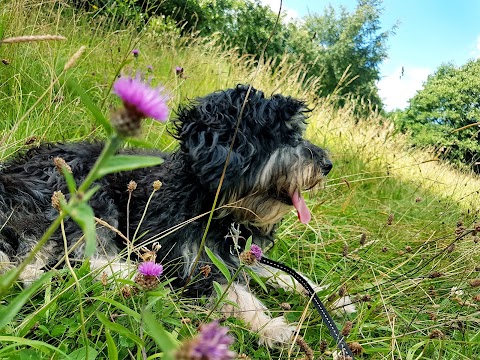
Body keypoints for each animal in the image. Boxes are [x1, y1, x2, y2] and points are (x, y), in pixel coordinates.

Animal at [0, 84, 332, 346]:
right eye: (282, 136)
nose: (327, 165)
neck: (214, 205)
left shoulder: (232, 252)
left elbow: (276, 272)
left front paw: (322, 295)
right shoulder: (188, 259)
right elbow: (232, 292)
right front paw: (271, 326)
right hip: (84, 195)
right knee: (84, 258)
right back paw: (138, 275)